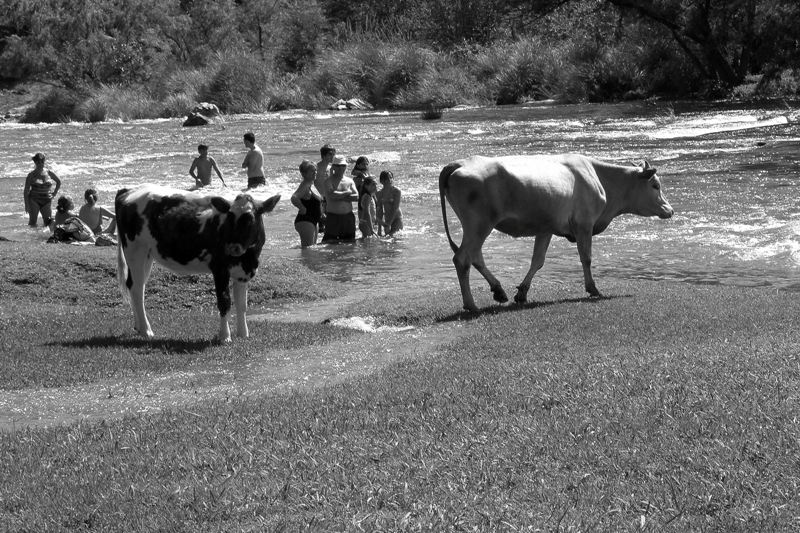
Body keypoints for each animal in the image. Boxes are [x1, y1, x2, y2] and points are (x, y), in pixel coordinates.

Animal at [115, 183, 282, 340]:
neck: (248, 257)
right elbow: (224, 302)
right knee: (137, 289)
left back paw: (138, 326)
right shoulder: (220, 269)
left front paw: (243, 334)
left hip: (147, 255)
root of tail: (130, 190)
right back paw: (146, 330)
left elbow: (242, 305)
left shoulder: (243, 273)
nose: (231, 247)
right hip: (135, 250)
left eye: (250, 220)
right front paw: (225, 336)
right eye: (229, 217)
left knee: (134, 285)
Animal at [440, 154, 672, 312]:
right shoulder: (584, 223)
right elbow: (586, 257)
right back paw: (471, 305)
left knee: (475, 256)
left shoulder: (546, 228)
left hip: (476, 227)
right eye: (655, 185)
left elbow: (537, 261)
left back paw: (498, 290)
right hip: (479, 224)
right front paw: (593, 288)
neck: (599, 177)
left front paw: (522, 293)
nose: (670, 210)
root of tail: (459, 163)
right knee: (462, 258)